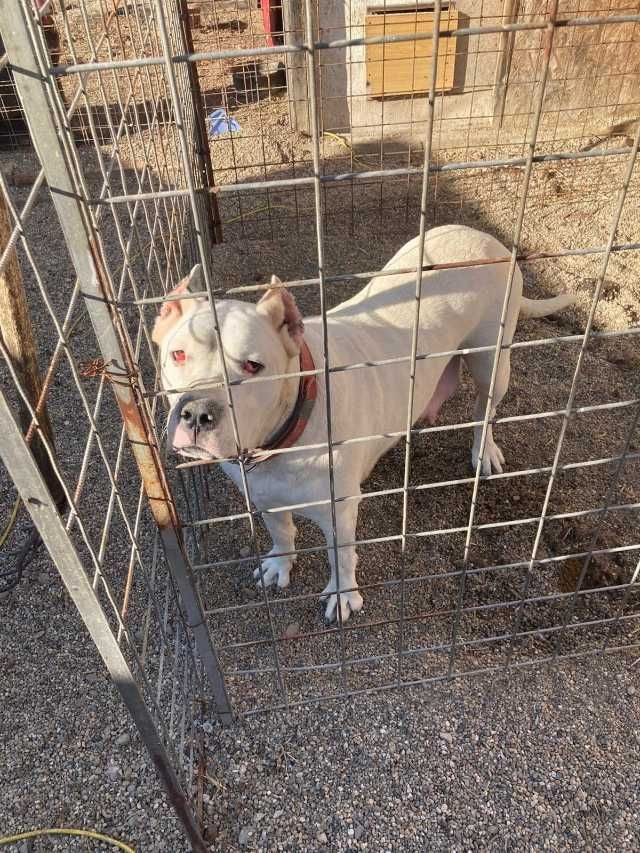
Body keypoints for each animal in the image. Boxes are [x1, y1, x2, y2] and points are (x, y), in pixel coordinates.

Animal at [152, 223, 572, 624]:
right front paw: (280, 563)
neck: (285, 435)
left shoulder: (340, 511)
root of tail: (487, 239)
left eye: (253, 366)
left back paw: (483, 450)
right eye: (178, 355)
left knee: (484, 409)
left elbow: (340, 556)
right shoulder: (262, 494)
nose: (197, 412)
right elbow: (281, 529)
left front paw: (343, 595)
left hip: (492, 361)